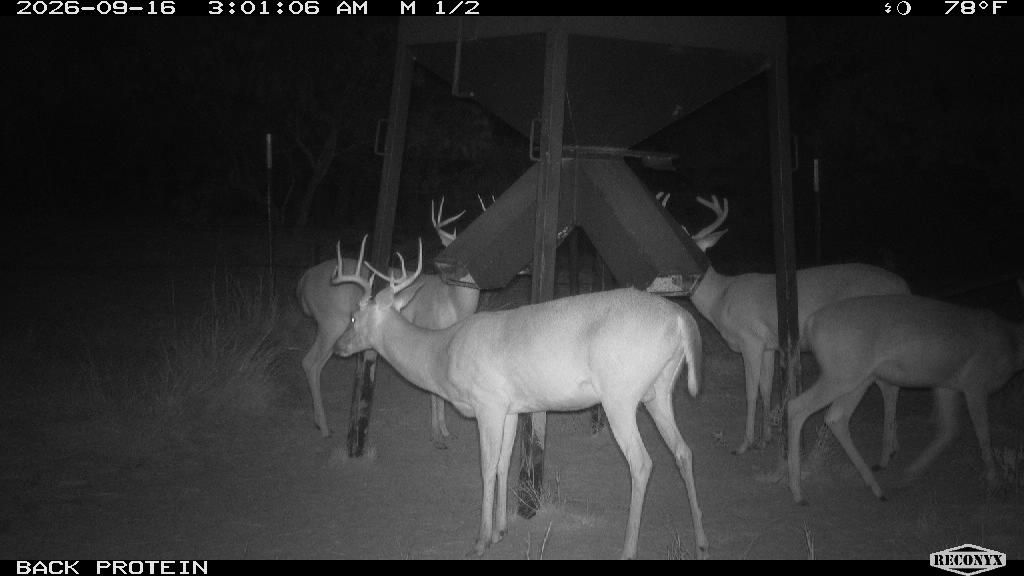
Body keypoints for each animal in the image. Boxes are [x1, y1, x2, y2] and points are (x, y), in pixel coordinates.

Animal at [297, 198, 476, 445]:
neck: (453, 301)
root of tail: (305, 278)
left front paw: (444, 431)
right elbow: (435, 391)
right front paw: (439, 434)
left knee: (312, 362)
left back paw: (319, 422)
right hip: (330, 324)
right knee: (311, 362)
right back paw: (324, 427)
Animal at [332, 236, 709, 560]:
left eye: (353, 316)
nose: (338, 347)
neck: (443, 351)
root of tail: (682, 318)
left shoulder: (487, 403)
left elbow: (486, 467)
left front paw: (480, 541)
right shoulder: (510, 408)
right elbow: (503, 462)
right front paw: (501, 531)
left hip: (620, 396)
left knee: (642, 463)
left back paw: (628, 549)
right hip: (658, 392)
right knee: (684, 451)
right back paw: (702, 543)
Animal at [674, 194, 910, 457]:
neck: (721, 298)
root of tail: (905, 288)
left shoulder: (751, 339)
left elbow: (751, 392)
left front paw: (745, 443)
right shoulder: (768, 345)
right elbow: (766, 388)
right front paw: (765, 439)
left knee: (889, 387)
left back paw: (888, 449)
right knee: (891, 385)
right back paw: (894, 446)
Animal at [787, 293, 1024, 504]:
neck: (1011, 344)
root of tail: (811, 323)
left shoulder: (946, 385)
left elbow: (949, 430)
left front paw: (909, 475)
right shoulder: (975, 383)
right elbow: (983, 435)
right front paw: (996, 484)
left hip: (858, 377)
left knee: (836, 417)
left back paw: (877, 488)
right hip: (843, 374)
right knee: (796, 407)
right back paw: (798, 493)